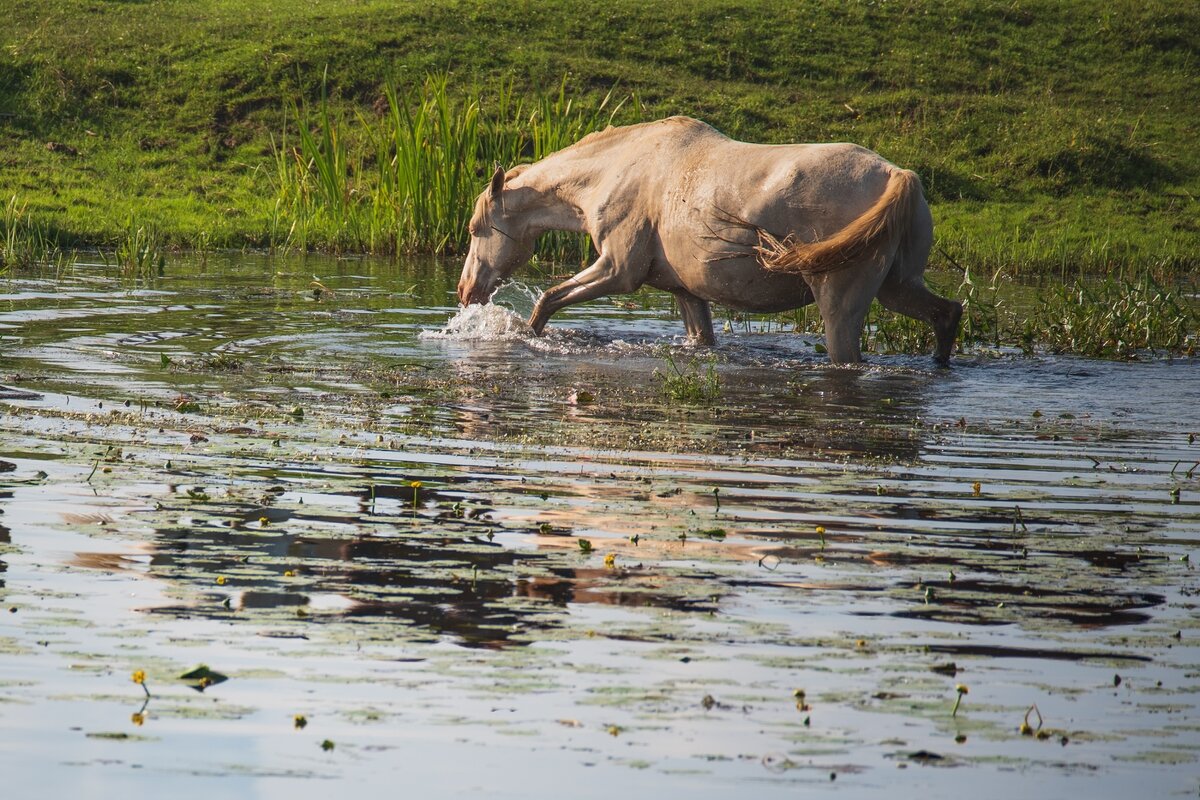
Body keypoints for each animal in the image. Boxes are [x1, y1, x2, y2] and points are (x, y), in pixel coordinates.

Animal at [453, 116, 960, 367]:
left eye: (476, 230)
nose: (464, 291)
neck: (617, 170)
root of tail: (899, 175)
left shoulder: (617, 271)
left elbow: (548, 302)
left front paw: (527, 339)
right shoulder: (685, 292)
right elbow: (700, 338)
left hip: (842, 303)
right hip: (897, 287)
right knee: (948, 314)